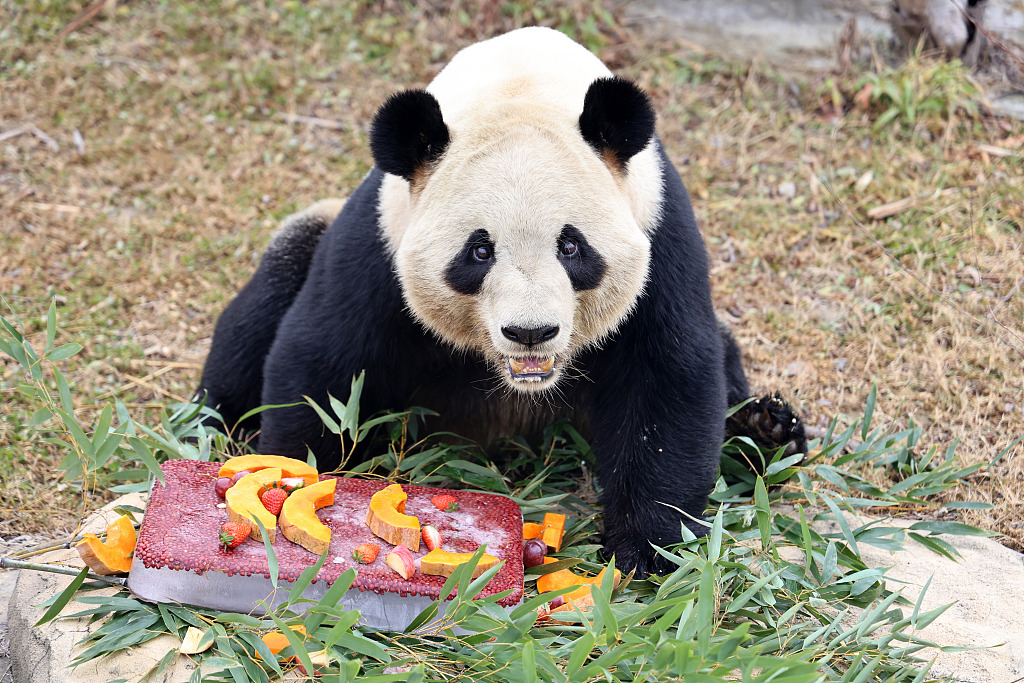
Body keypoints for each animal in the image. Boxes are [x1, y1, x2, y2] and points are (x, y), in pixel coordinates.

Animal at [197, 28, 806, 577]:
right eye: (479, 250)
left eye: (571, 246)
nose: (530, 333)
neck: (522, 84)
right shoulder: (380, 238)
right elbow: (325, 360)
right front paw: (292, 481)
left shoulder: (658, 228)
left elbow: (667, 379)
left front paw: (646, 551)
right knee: (267, 299)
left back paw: (767, 429)